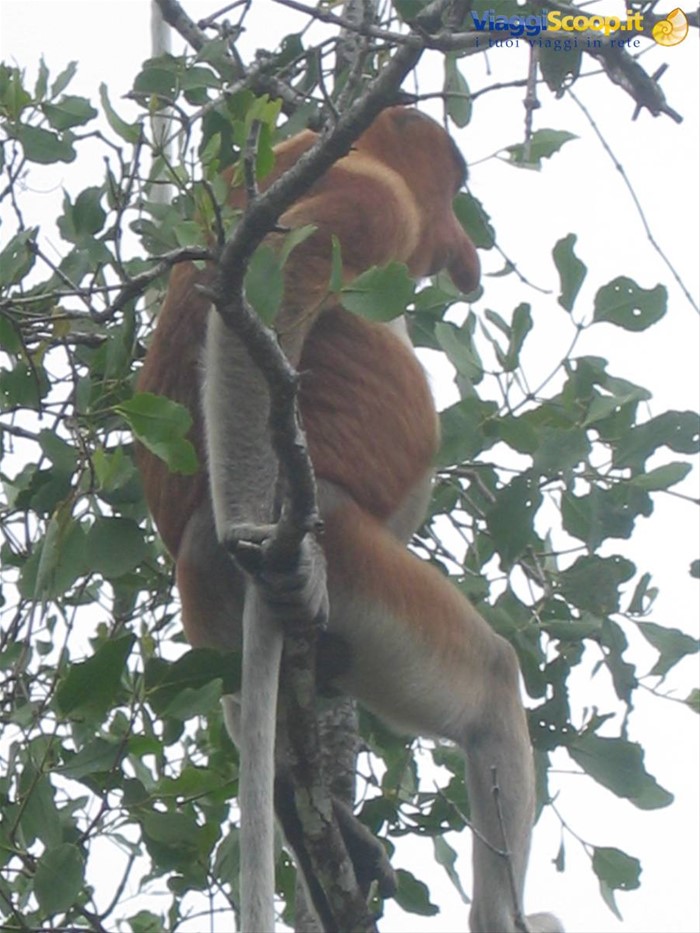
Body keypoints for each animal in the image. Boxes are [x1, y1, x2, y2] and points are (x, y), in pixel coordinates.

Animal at [136, 106, 562, 933]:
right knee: (492, 687)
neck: (328, 147)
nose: (465, 254)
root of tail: (195, 560)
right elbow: (272, 276)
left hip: (227, 638)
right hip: (358, 567)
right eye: (451, 188)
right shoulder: (376, 200)